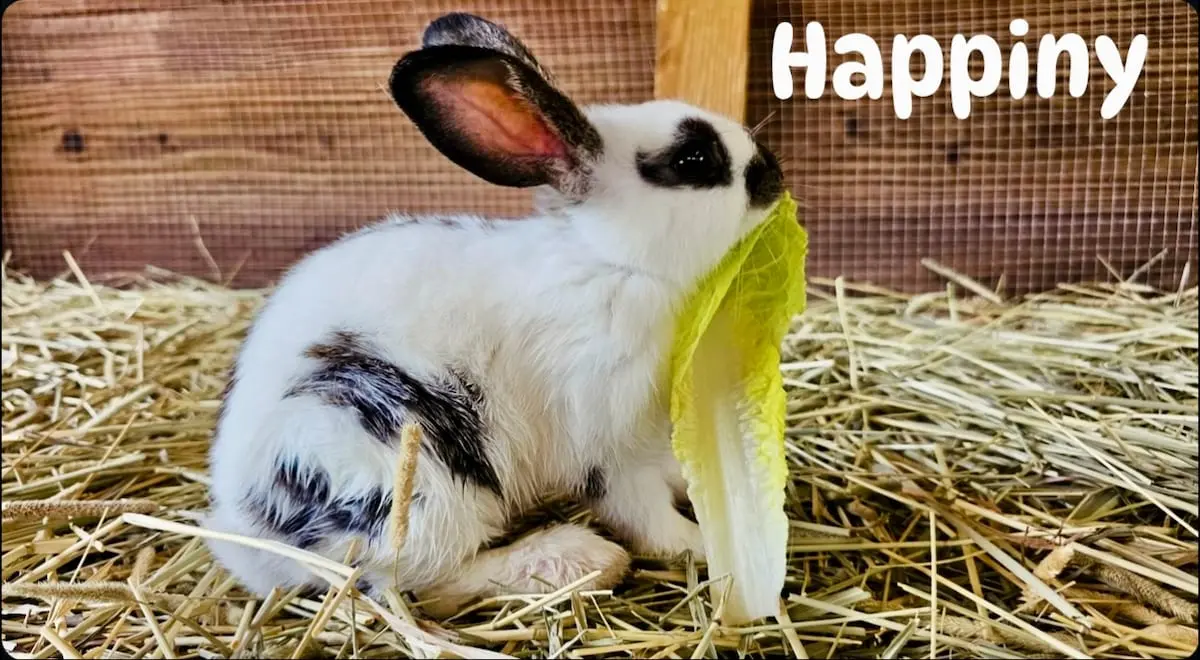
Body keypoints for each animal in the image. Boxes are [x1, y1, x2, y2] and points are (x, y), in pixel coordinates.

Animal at [204, 12, 786, 618]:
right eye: (693, 160)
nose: (775, 174)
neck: (612, 262)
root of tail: (250, 533)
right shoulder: (604, 437)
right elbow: (640, 509)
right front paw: (695, 544)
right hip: (415, 480)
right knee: (421, 582)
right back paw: (576, 560)